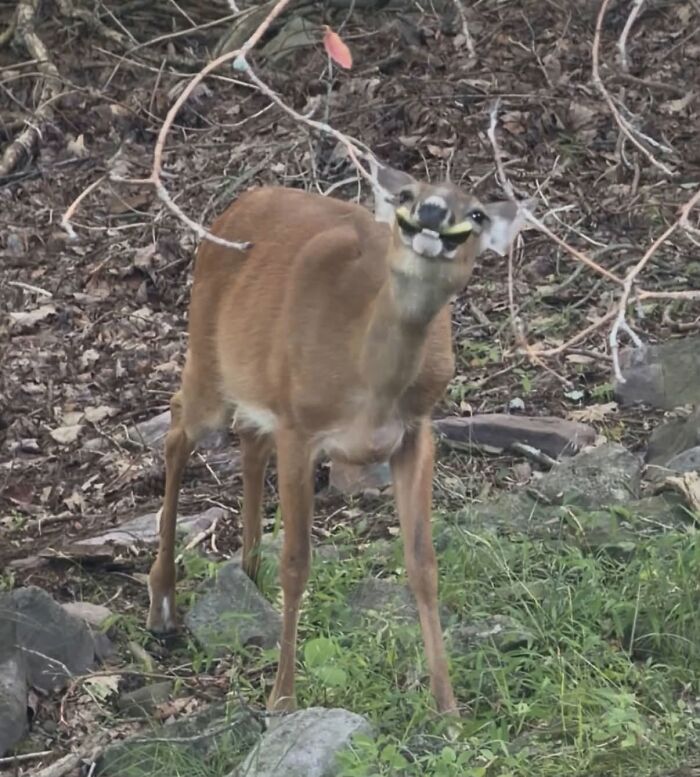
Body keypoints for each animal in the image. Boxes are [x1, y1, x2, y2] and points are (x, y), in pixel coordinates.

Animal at [146, 157, 529, 716]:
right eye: (408, 194)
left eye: (476, 213)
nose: (433, 213)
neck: (367, 382)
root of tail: (238, 204)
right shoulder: (301, 428)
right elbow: (297, 563)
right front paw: (282, 698)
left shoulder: (416, 432)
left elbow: (424, 564)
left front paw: (449, 708)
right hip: (208, 358)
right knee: (177, 429)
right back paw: (163, 602)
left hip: (257, 386)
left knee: (247, 437)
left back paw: (247, 571)